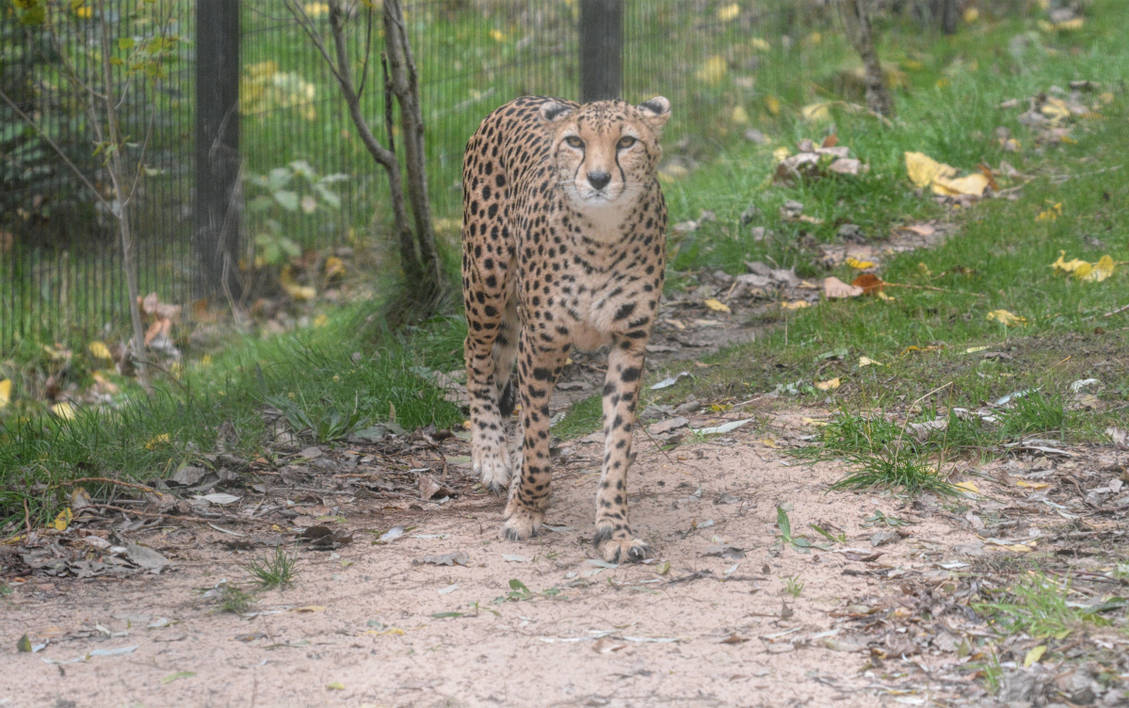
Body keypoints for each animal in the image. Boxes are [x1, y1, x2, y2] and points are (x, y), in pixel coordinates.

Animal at [460, 94, 671, 563]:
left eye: (627, 141)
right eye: (576, 141)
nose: (598, 178)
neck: (603, 235)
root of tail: (518, 99)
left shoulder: (629, 344)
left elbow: (617, 445)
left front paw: (614, 529)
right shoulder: (541, 342)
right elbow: (537, 438)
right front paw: (525, 510)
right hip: (485, 279)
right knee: (475, 353)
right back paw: (492, 457)